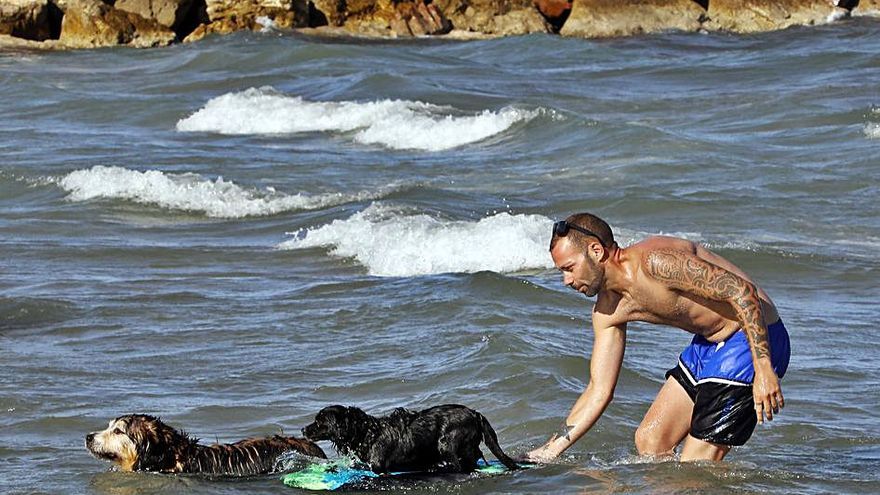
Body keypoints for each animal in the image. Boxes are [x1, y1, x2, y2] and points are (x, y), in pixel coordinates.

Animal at [304, 404, 524, 474]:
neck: (366, 432)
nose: (303, 429)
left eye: (319, 421)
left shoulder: (378, 466)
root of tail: (474, 413)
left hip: (445, 443)